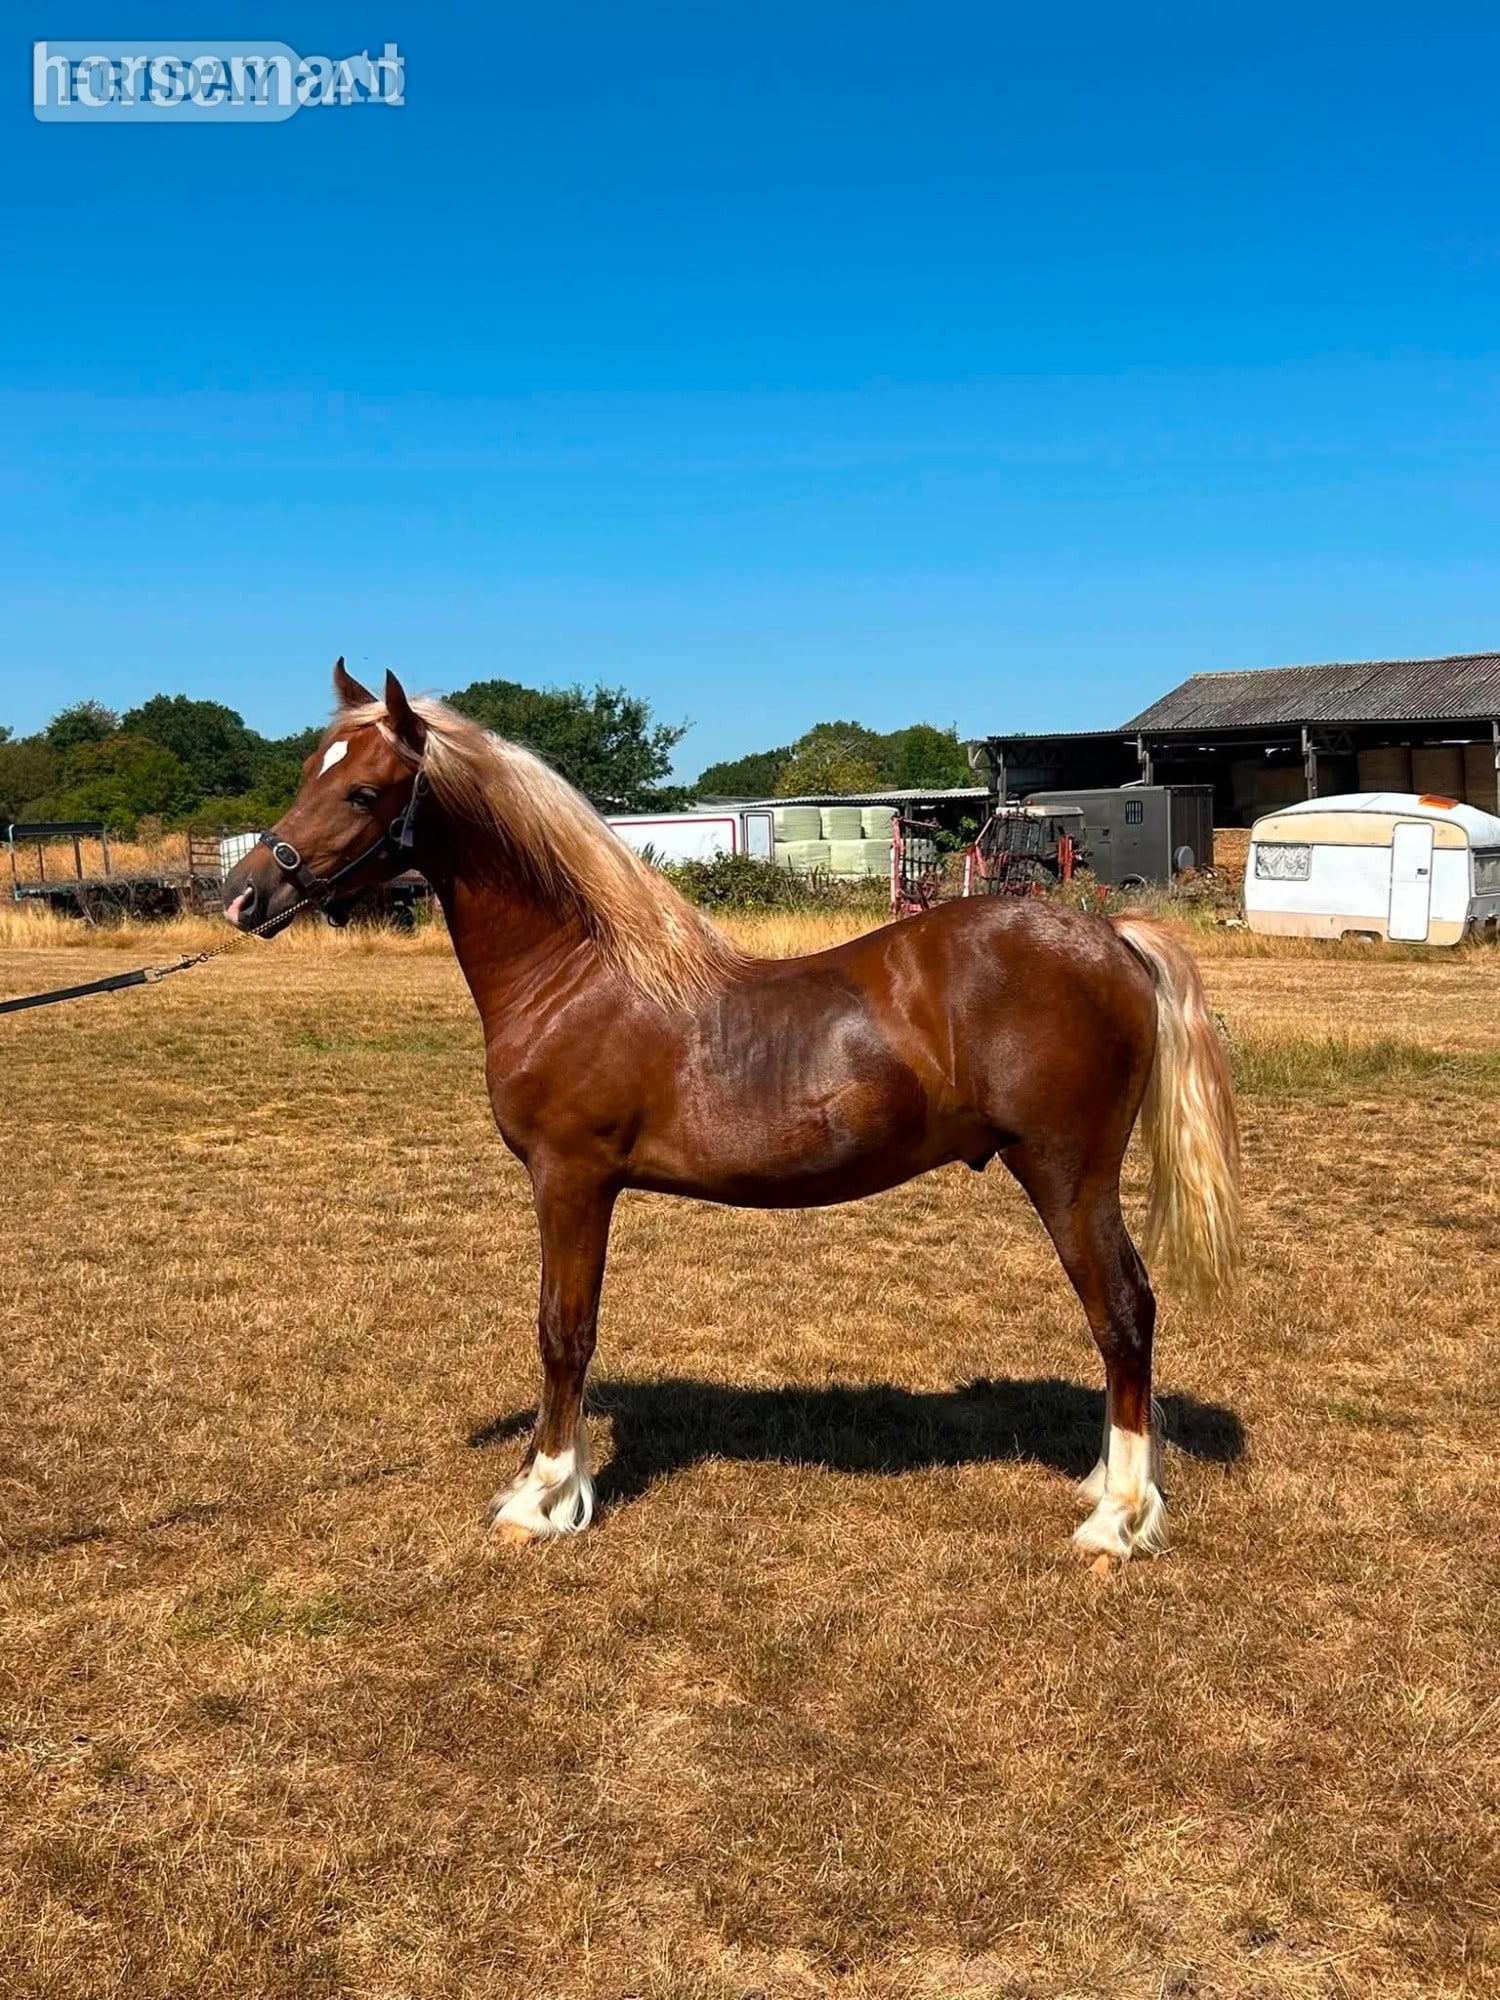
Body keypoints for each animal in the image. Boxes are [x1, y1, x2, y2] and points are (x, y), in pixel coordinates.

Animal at [222, 662, 1241, 1562]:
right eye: (309, 769)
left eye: (363, 792)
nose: (244, 895)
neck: (579, 975)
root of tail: (1109, 935)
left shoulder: (570, 1179)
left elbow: (563, 1331)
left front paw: (543, 1498)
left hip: (1069, 1175)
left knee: (1123, 1312)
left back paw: (1116, 1520)